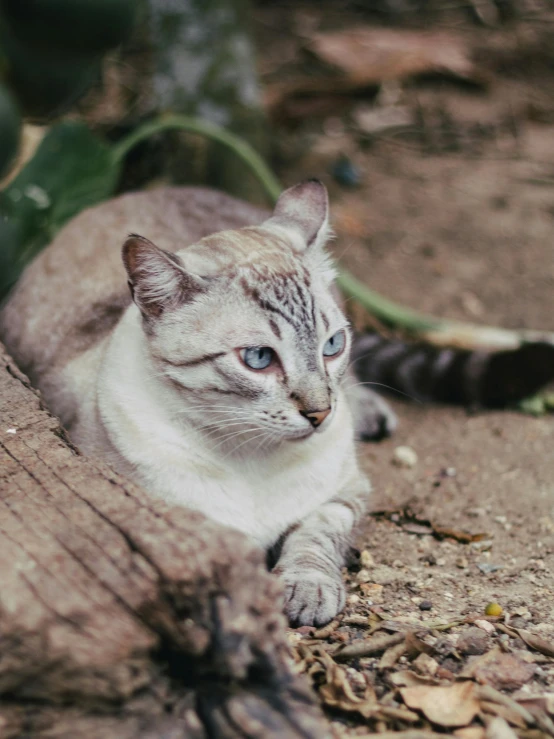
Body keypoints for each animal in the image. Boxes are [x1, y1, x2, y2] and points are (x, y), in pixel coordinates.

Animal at [1, 179, 388, 624]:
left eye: (332, 346)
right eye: (259, 358)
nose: (320, 412)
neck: (251, 457)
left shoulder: (346, 491)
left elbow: (315, 534)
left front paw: (307, 589)